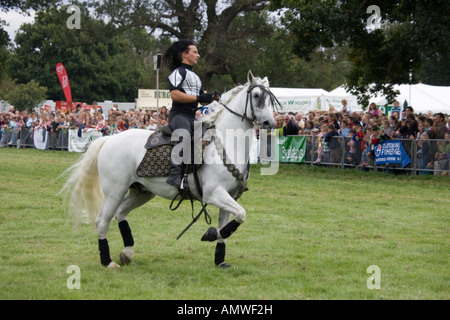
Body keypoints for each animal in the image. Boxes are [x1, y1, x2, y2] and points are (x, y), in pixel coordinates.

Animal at [59, 71, 278, 268]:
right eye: (256, 95)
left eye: (271, 98)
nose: (270, 123)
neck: (227, 142)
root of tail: (109, 139)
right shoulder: (214, 194)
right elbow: (241, 215)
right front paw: (209, 234)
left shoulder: (231, 195)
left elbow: (228, 227)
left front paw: (220, 259)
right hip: (115, 191)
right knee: (102, 221)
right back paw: (107, 261)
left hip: (141, 192)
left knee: (120, 213)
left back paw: (127, 252)